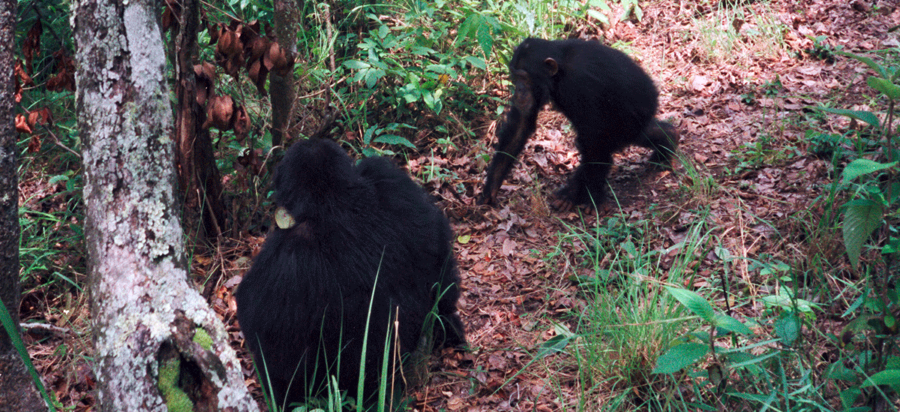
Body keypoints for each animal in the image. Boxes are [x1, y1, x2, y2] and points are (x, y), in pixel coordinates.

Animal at [478, 37, 676, 209]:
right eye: (514, 76)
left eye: (524, 77)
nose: (518, 90)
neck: (559, 73)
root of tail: (654, 93)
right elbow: (522, 121)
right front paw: (492, 187)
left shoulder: (582, 83)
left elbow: (593, 138)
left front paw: (578, 194)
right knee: (639, 135)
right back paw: (667, 140)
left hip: (631, 118)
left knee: (599, 147)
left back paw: (586, 195)